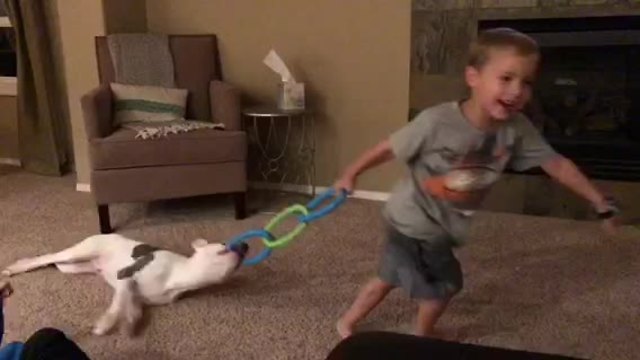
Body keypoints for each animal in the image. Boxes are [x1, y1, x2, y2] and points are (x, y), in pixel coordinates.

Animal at [1, 235, 248, 336]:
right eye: (224, 246)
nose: (245, 245)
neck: (179, 276)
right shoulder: (125, 277)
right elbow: (119, 303)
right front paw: (105, 324)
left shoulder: (140, 300)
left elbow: (134, 310)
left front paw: (130, 325)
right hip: (79, 252)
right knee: (45, 258)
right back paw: (14, 269)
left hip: (75, 267)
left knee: (56, 263)